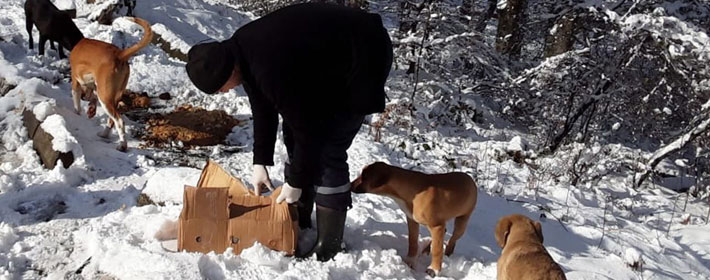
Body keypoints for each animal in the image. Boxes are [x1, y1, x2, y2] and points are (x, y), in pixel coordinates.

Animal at [69, 17, 153, 151]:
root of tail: (120, 54)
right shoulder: (93, 85)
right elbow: (91, 97)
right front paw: (91, 109)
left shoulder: (76, 82)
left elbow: (77, 105)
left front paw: (78, 114)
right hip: (114, 95)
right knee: (112, 120)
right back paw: (104, 134)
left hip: (105, 97)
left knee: (119, 121)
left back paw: (122, 145)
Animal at [350, 162, 478, 278]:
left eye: (364, 176)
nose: (350, 185)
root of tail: (470, 179)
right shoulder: (412, 220)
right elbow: (412, 241)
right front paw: (410, 261)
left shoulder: (436, 225)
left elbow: (437, 250)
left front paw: (434, 269)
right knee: (443, 234)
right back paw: (427, 249)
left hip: (462, 220)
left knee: (452, 239)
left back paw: (447, 253)